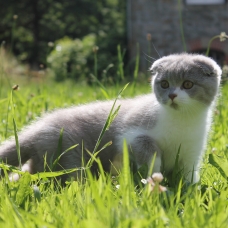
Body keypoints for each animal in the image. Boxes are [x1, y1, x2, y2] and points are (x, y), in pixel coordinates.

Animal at [0, 53, 221, 183]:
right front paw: (153, 177)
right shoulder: (131, 133)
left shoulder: (192, 151)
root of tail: (38, 127)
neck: (182, 121)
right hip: (70, 153)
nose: (172, 95)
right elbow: (149, 151)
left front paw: (189, 190)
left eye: (188, 84)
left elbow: (188, 174)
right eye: (164, 84)